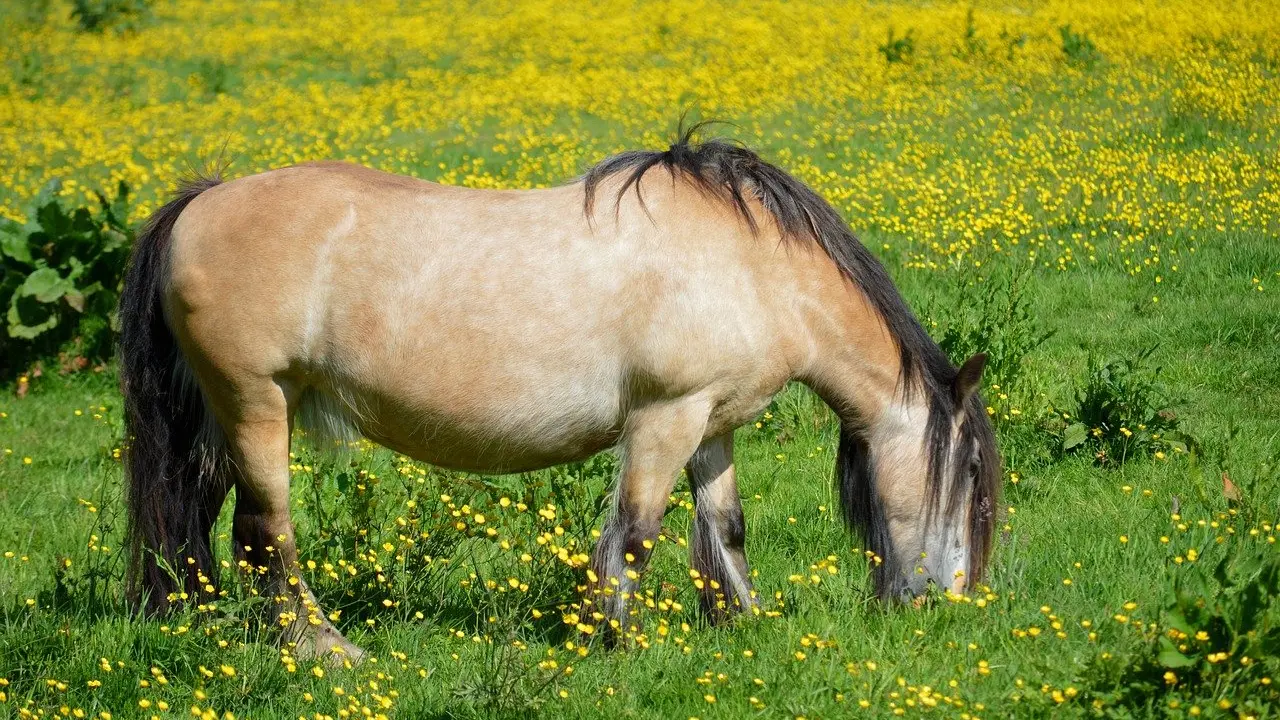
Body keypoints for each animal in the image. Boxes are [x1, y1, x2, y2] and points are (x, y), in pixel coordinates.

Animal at [117, 122, 998, 655]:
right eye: (969, 482)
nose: (948, 601)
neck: (751, 266)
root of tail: (204, 200)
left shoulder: (712, 424)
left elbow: (726, 528)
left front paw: (742, 624)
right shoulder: (665, 419)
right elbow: (636, 533)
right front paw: (614, 640)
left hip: (223, 418)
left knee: (197, 525)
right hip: (256, 403)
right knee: (266, 534)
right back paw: (325, 650)